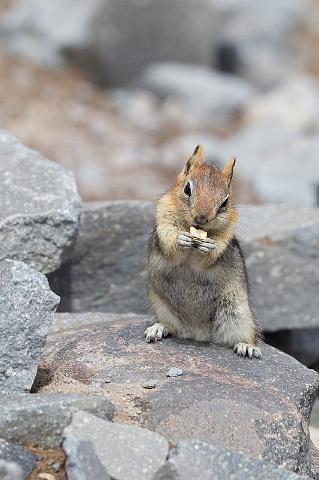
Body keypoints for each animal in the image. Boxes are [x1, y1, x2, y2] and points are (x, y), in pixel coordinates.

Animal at [145, 144, 262, 358]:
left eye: (225, 202)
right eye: (187, 189)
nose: (201, 218)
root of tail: (197, 333)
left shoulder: (225, 236)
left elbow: (208, 257)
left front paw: (208, 247)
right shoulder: (164, 220)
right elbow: (170, 244)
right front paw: (181, 239)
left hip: (237, 314)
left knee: (248, 335)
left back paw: (246, 346)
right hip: (162, 307)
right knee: (172, 327)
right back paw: (158, 329)